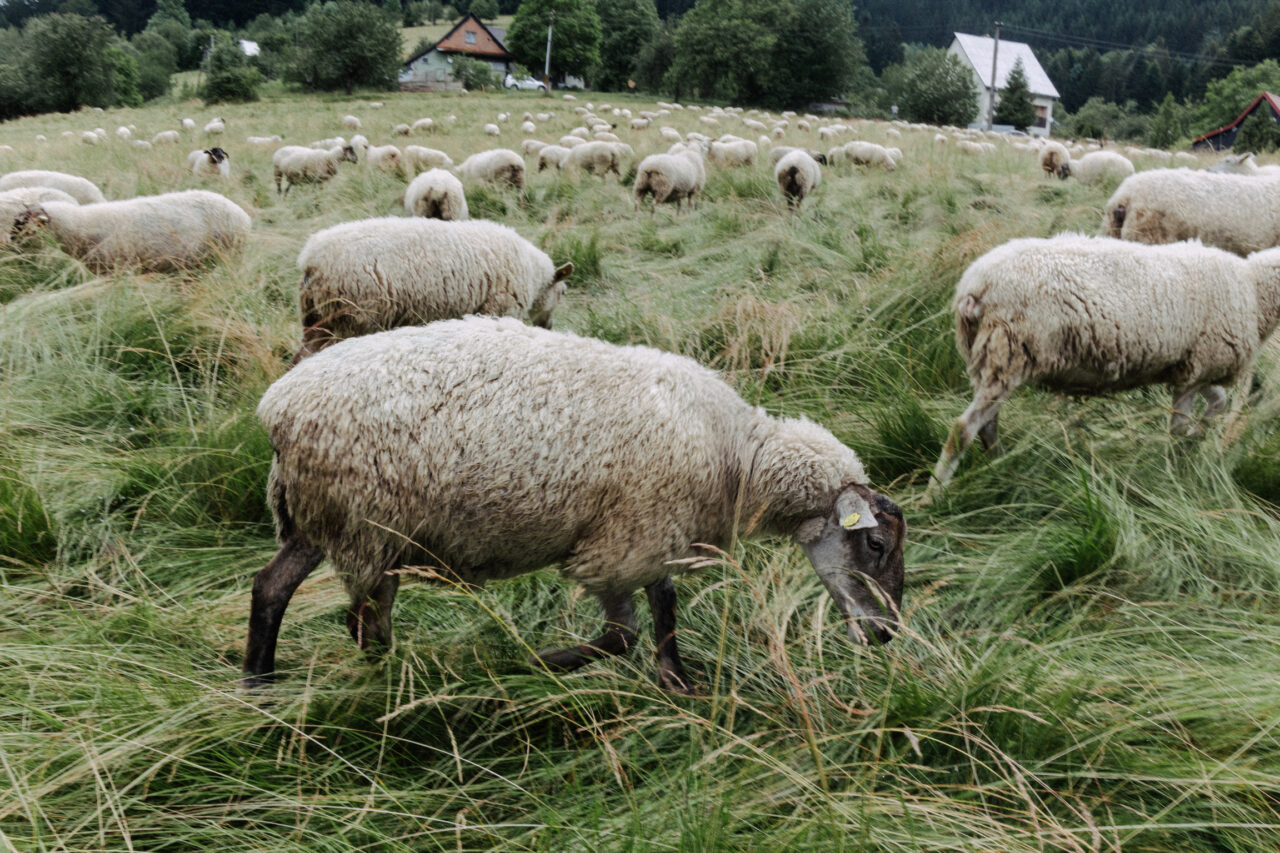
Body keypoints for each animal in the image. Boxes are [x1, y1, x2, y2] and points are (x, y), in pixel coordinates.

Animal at [11, 189, 252, 272]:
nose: (11, 244)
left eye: (23, 224)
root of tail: (243, 215)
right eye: (17, 220)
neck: (81, 225)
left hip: (229, 254)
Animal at [247, 315, 911, 686]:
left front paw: (678, 684)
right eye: (876, 544)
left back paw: (274, 684)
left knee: (279, 589)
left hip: (329, 523)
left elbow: (664, 610)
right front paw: (535, 662)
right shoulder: (622, 540)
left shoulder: (649, 531)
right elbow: (622, 635)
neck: (735, 455)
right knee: (353, 614)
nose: (886, 637)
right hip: (362, 523)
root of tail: (277, 407)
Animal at [293, 213, 573, 356]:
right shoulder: (499, 309)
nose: (549, 326)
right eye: (562, 292)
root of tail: (311, 258)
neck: (533, 274)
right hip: (348, 320)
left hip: (316, 319)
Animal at [926, 233, 1280, 494]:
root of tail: (974, 286)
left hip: (988, 358)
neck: (1254, 288)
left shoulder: (1191, 369)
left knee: (987, 426)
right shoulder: (1198, 366)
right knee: (963, 429)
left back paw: (1000, 469)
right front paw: (1179, 456)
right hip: (1010, 352)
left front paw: (1196, 437)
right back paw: (934, 495)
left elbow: (1217, 403)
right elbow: (1180, 426)